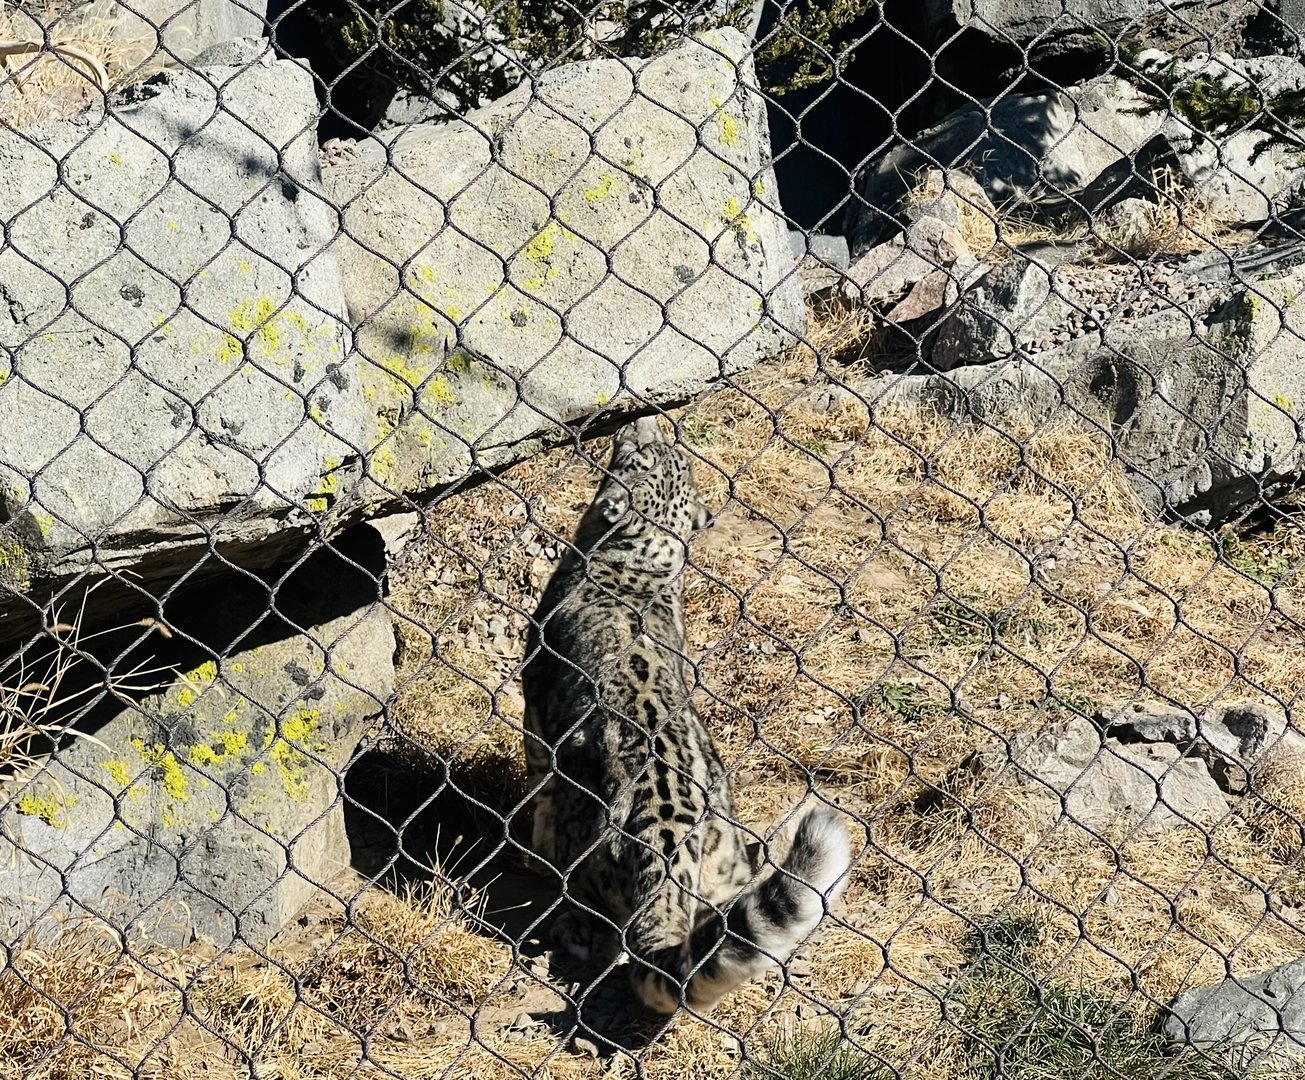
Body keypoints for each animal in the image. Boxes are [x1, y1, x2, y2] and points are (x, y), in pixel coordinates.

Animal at [521, 414, 851, 1015]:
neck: (640, 563)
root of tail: (672, 837)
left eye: (639, 456)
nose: (641, 421)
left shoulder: (533, 705)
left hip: (586, 848)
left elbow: (535, 780)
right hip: (726, 869)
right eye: (667, 458)